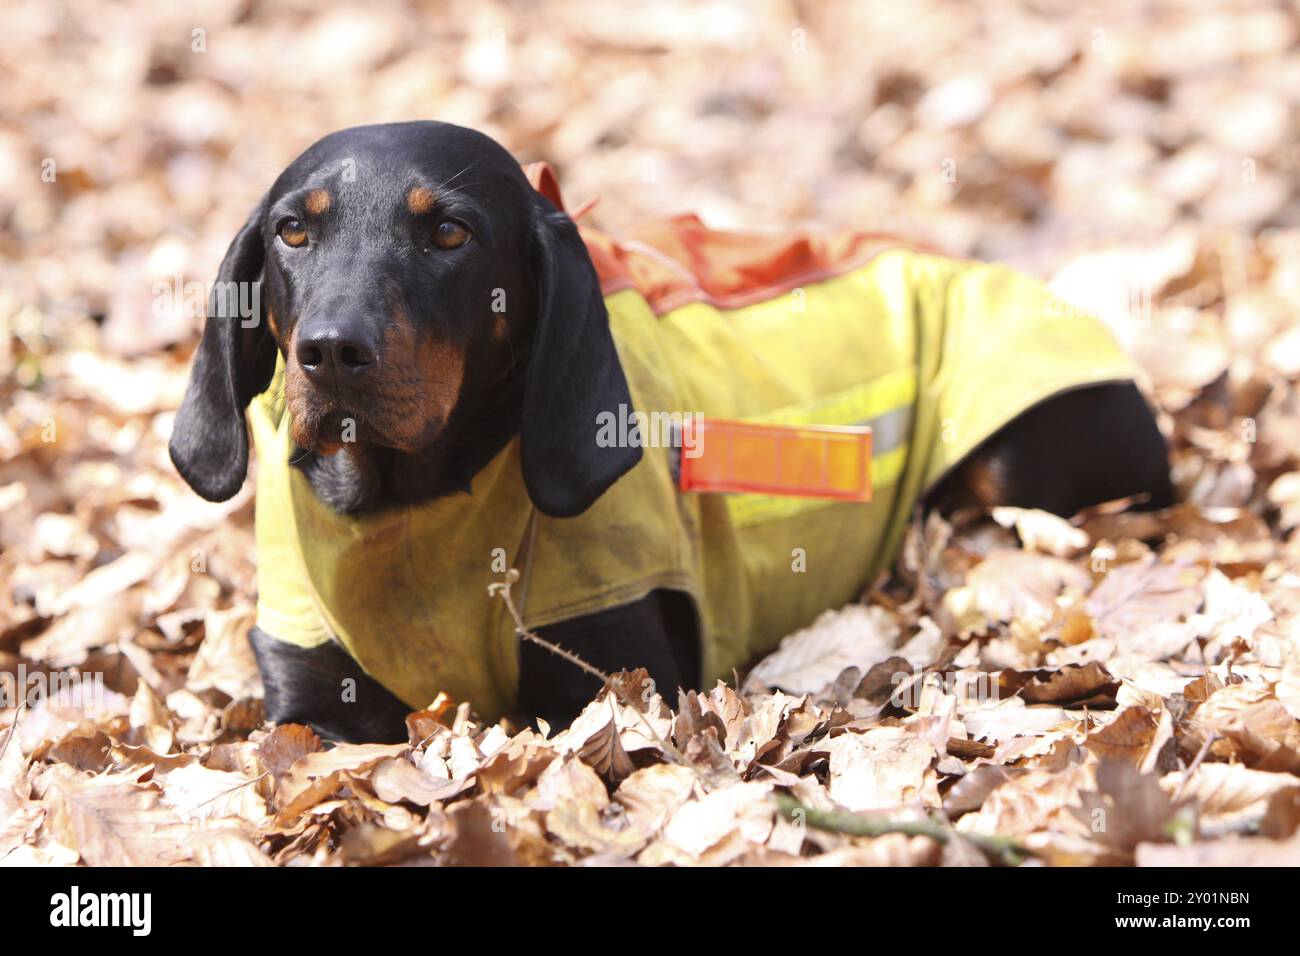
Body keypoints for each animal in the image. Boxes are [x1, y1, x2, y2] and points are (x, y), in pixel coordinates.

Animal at [167, 119, 1175, 743]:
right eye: (294, 232)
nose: (333, 352)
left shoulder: (606, 680)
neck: (409, 512)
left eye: (450, 233)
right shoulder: (313, 707)